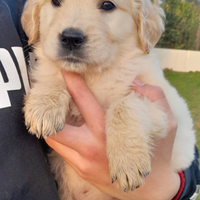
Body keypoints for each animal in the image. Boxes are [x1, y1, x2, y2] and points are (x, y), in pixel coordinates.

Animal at [21, 0, 195, 200]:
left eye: (107, 5)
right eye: (55, 2)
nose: (71, 38)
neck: (93, 75)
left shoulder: (165, 104)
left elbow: (124, 106)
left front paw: (127, 161)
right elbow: (53, 75)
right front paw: (43, 106)